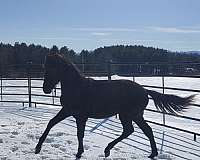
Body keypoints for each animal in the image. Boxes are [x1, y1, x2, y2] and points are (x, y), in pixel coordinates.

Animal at [35, 53, 195, 158]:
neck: (77, 87)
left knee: (132, 130)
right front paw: (37, 148)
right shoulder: (67, 111)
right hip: (133, 115)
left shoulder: (81, 116)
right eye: (45, 67)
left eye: (53, 68)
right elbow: (51, 123)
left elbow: (79, 134)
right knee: (143, 130)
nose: (46, 89)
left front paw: (79, 153)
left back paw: (108, 150)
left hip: (129, 115)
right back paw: (151, 153)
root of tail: (144, 90)